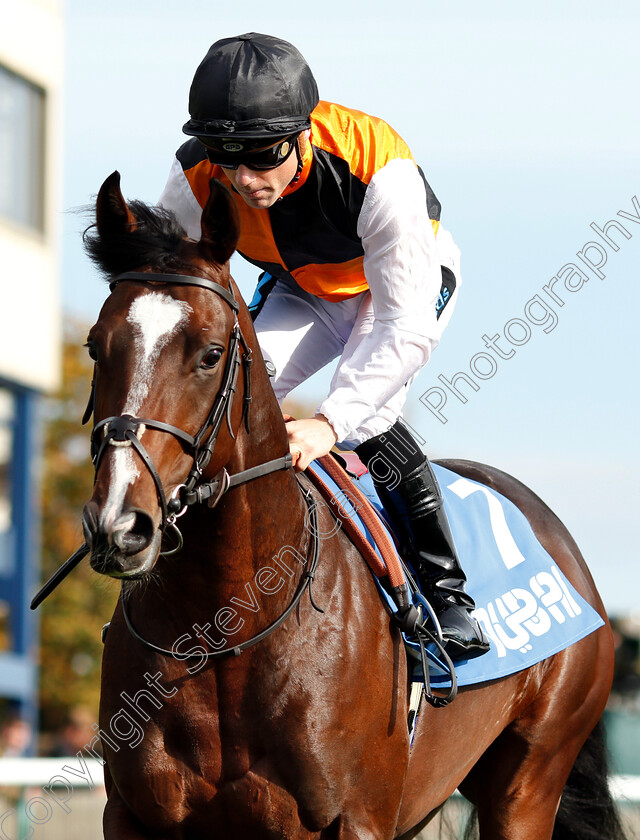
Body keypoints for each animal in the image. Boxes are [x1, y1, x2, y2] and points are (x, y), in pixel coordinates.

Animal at [80, 172, 624, 840]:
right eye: (95, 347)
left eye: (209, 353)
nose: (120, 526)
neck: (227, 626)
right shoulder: (134, 814)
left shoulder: (356, 817)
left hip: (530, 779)